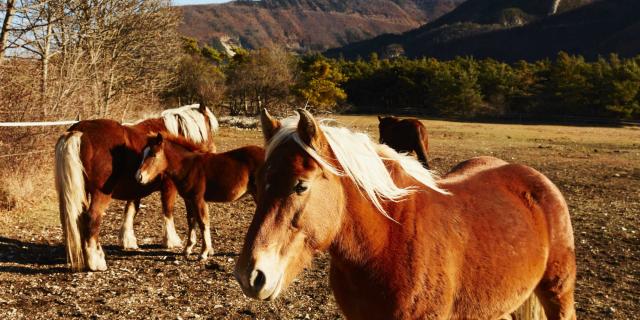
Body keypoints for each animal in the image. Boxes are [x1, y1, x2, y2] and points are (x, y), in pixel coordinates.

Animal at [53, 104, 218, 272]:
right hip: (100, 194)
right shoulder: (168, 186)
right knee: (92, 218)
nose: (212, 151)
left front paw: (128, 240)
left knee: (78, 218)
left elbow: (131, 210)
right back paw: (95, 261)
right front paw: (171, 240)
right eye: (209, 126)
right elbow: (168, 211)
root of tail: (79, 131)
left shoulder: (135, 188)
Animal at [135, 134, 264, 262]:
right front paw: (188, 249)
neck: (188, 167)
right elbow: (192, 221)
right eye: (143, 154)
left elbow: (203, 222)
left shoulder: (199, 199)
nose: (138, 177)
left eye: (153, 154)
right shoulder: (188, 199)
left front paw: (204, 253)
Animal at [234, 110, 576, 320]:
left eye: (300, 185)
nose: (250, 276)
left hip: (558, 293)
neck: (387, 242)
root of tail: (535, 178)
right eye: (257, 183)